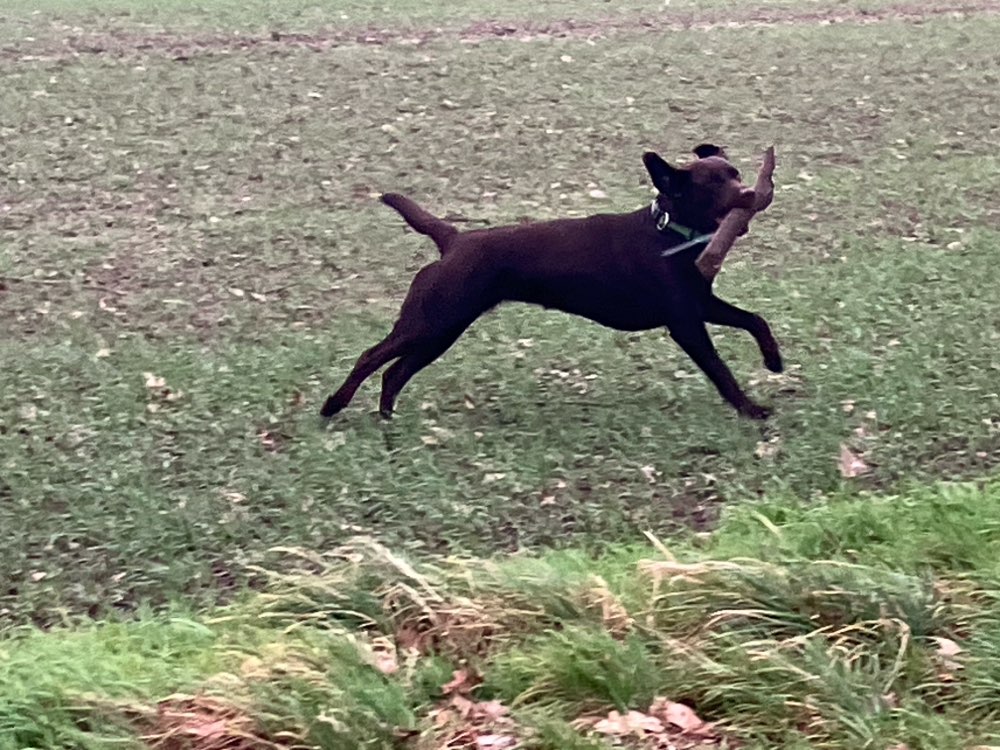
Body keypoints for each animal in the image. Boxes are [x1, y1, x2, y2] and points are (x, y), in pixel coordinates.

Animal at [320, 144, 780, 420]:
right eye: (712, 183)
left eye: (735, 172)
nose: (749, 193)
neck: (669, 232)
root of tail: (453, 239)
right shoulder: (685, 323)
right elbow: (720, 369)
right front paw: (751, 409)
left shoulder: (700, 304)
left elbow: (755, 319)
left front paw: (774, 361)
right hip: (429, 321)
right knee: (371, 357)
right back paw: (333, 405)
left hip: (442, 330)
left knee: (395, 372)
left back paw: (387, 418)